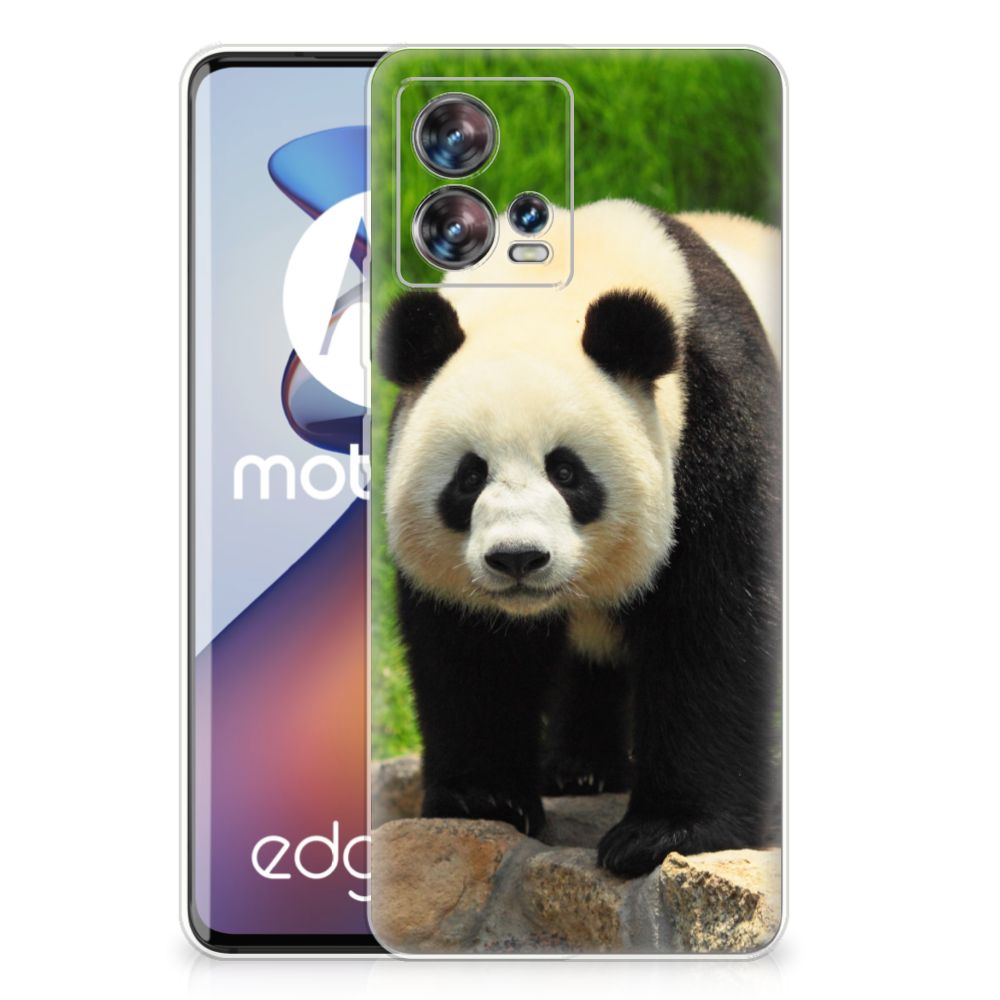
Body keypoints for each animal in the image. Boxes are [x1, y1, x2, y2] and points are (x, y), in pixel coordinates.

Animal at [377, 199, 781, 877]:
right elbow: (470, 648)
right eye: (469, 476)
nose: (517, 558)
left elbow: (713, 623)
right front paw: (484, 799)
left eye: (566, 472)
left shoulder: (717, 419)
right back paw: (580, 769)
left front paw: (665, 833)